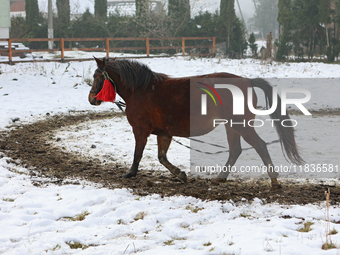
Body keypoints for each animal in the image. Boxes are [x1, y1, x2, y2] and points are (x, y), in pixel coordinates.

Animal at [89, 58, 304, 189]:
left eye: (97, 76)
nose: (91, 99)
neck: (141, 90)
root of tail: (248, 82)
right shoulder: (164, 133)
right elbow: (162, 157)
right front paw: (180, 174)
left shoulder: (140, 130)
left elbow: (138, 154)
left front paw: (131, 173)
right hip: (231, 126)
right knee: (235, 151)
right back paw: (220, 178)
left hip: (240, 125)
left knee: (259, 146)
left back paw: (274, 181)